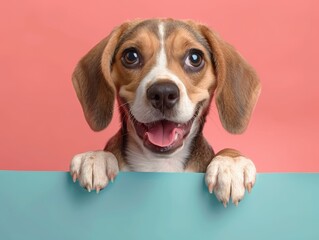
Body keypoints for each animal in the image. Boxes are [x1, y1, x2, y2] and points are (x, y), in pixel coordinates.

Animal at [69, 18, 260, 206]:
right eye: (131, 56)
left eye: (195, 58)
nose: (163, 93)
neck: (158, 164)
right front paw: (95, 158)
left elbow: (227, 151)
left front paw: (231, 164)